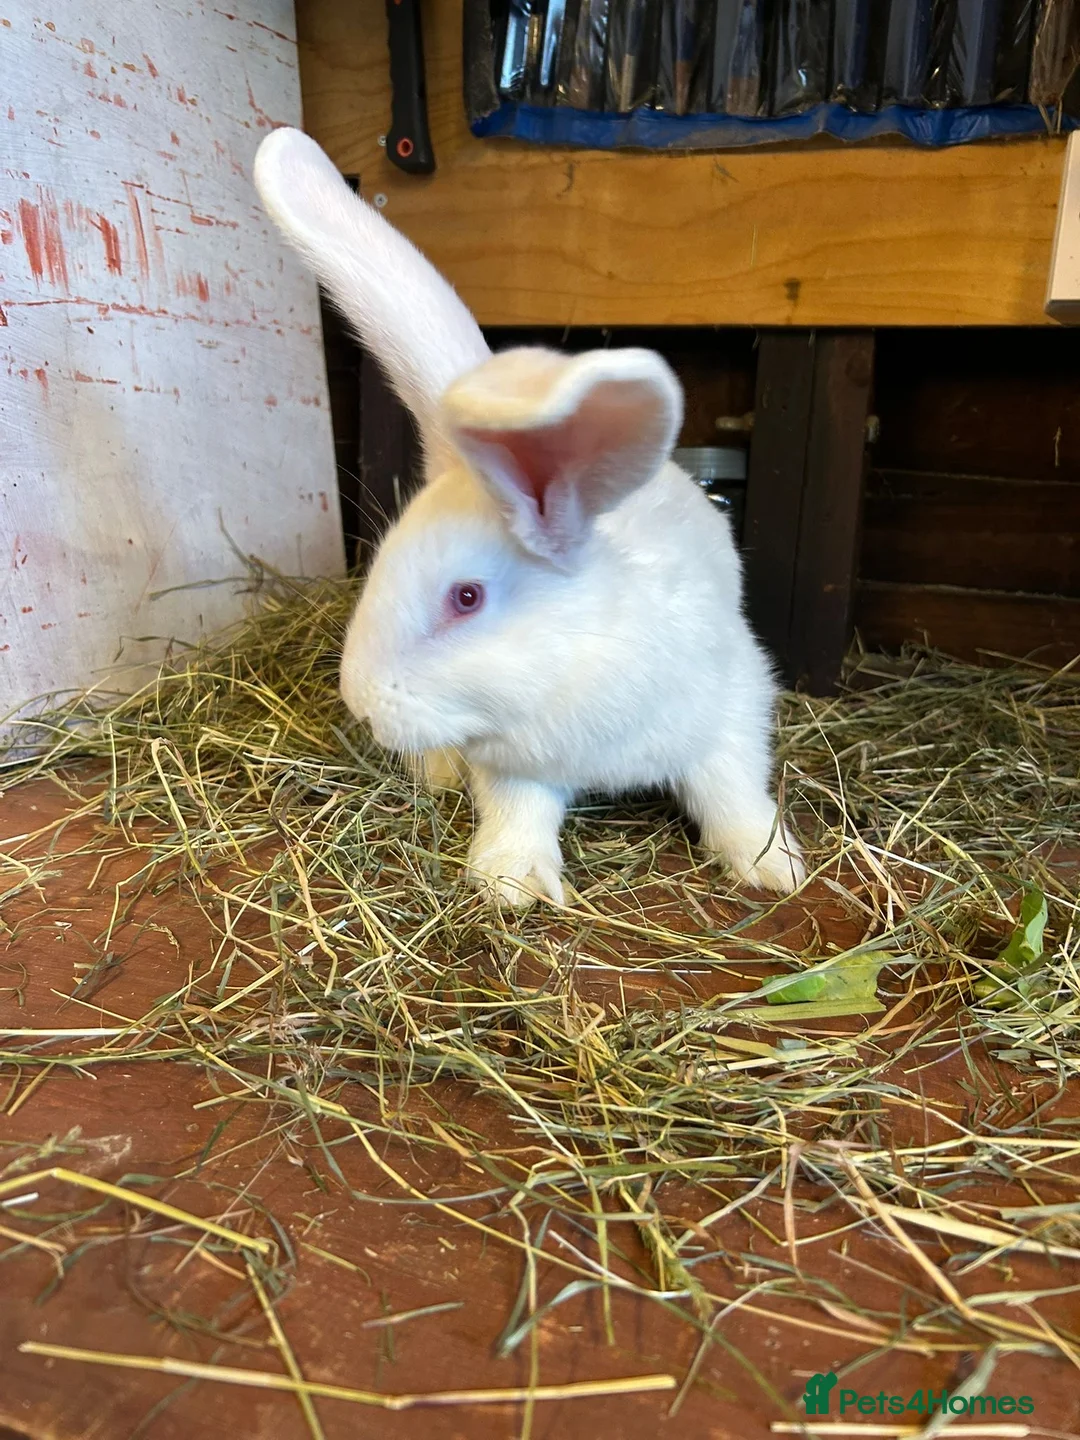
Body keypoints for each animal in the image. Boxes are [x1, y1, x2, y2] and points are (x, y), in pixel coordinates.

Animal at [254, 128, 805, 908]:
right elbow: (519, 809)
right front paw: (512, 882)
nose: (361, 705)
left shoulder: (731, 707)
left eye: (466, 597)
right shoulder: (516, 764)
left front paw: (772, 867)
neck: (581, 654)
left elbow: (733, 792)